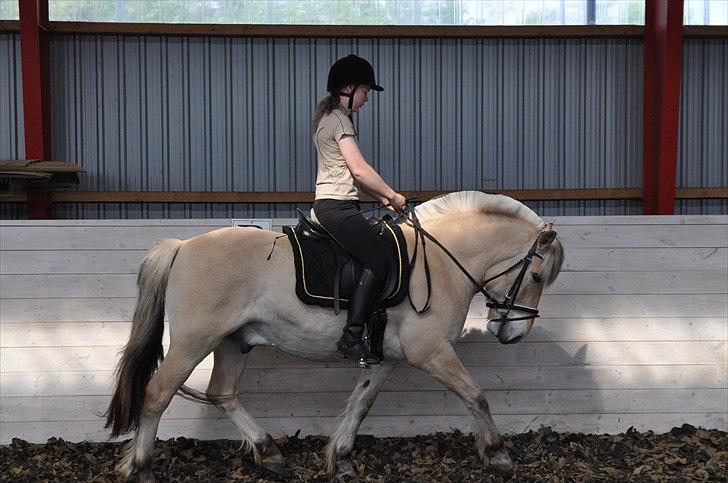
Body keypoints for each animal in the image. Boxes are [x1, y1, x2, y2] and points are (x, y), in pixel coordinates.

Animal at [105, 191, 564, 482]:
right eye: (536, 277)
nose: (513, 333)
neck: (441, 261)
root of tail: (181, 246)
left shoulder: (386, 358)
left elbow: (361, 404)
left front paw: (340, 460)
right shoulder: (431, 352)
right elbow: (476, 394)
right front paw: (499, 455)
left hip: (233, 341)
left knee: (222, 393)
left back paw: (270, 453)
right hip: (192, 342)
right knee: (157, 393)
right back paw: (141, 468)